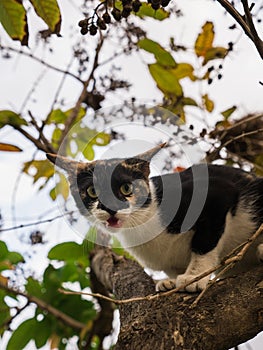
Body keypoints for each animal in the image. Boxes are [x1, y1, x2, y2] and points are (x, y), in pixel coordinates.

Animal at [47, 143, 263, 292]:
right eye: (92, 191)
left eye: (126, 188)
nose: (110, 208)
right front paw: (171, 281)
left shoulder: (216, 192)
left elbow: (203, 243)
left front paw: (193, 277)